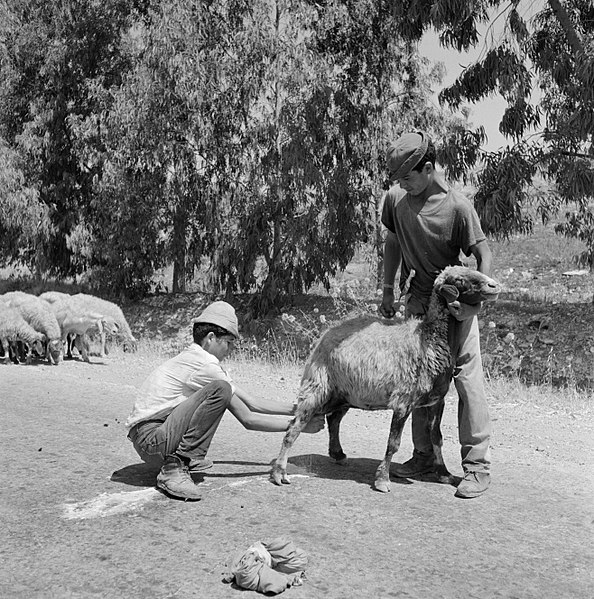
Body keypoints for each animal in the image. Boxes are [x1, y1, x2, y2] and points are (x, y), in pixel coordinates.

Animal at [270, 266, 498, 492]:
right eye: (459, 280)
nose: (494, 286)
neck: (429, 339)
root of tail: (325, 334)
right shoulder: (403, 401)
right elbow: (393, 443)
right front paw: (382, 480)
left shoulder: (436, 401)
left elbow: (437, 438)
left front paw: (444, 474)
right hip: (318, 386)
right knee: (294, 426)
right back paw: (279, 472)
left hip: (346, 393)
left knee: (333, 419)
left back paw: (337, 453)